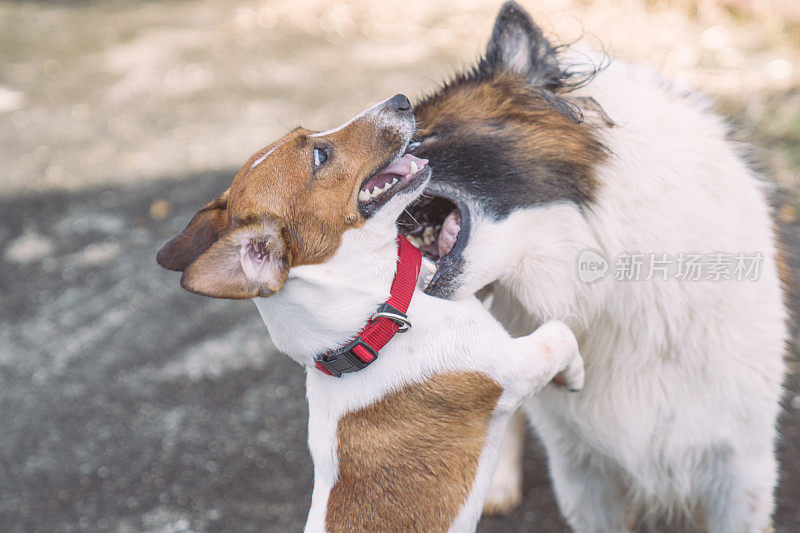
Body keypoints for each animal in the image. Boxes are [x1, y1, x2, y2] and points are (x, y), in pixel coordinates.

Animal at [156, 93, 584, 528]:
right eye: (320, 155)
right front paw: (574, 376)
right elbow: (560, 334)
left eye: (309, 132)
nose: (401, 100)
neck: (371, 328)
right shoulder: (515, 368)